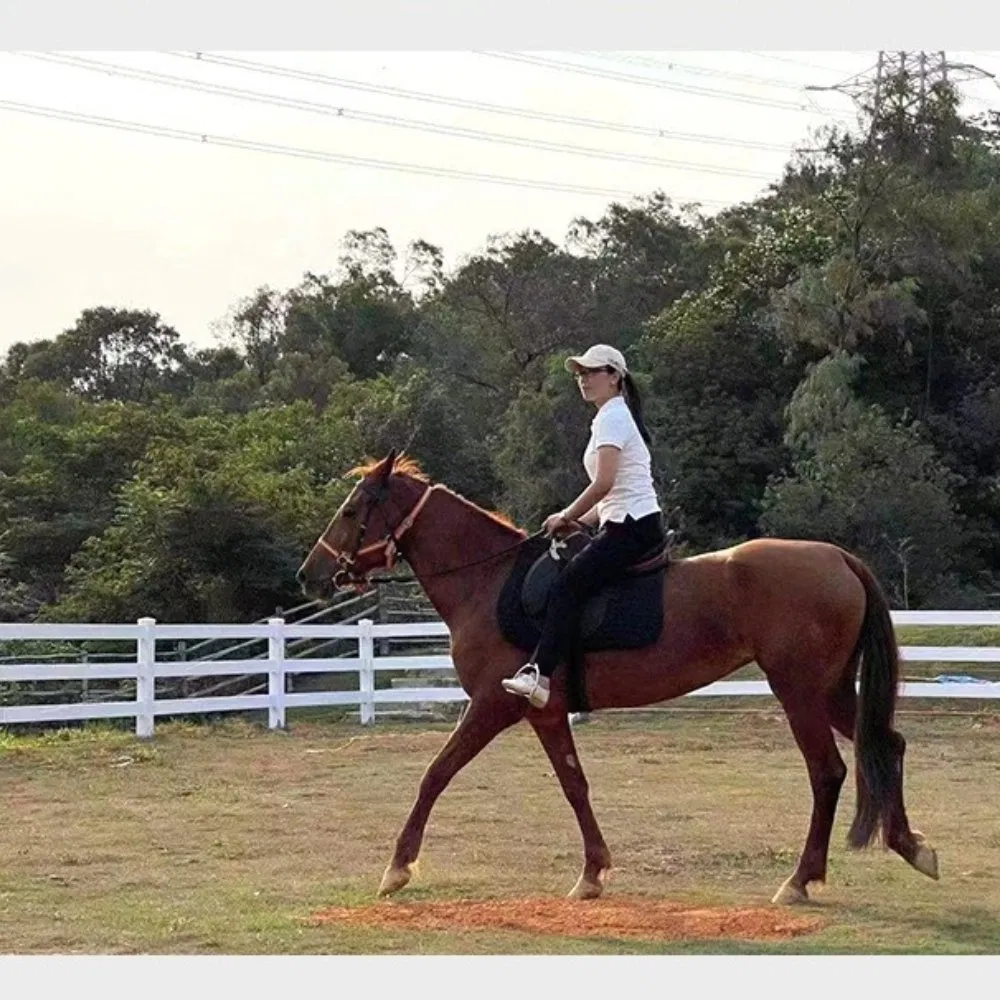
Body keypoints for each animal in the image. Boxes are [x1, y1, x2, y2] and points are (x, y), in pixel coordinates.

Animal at [296, 449, 940, 905]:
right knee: (888, 744)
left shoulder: (494, 705)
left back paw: (801, 880)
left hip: (799, 691)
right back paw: (911, 846)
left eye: (352, 511)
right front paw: (593, 873)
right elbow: (574, 784)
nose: (310, 574)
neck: (488, 582)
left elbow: (436, 773)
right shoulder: (546, 712)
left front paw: (397, 867)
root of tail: (838, 557)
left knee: (828, 772)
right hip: (830, 689)